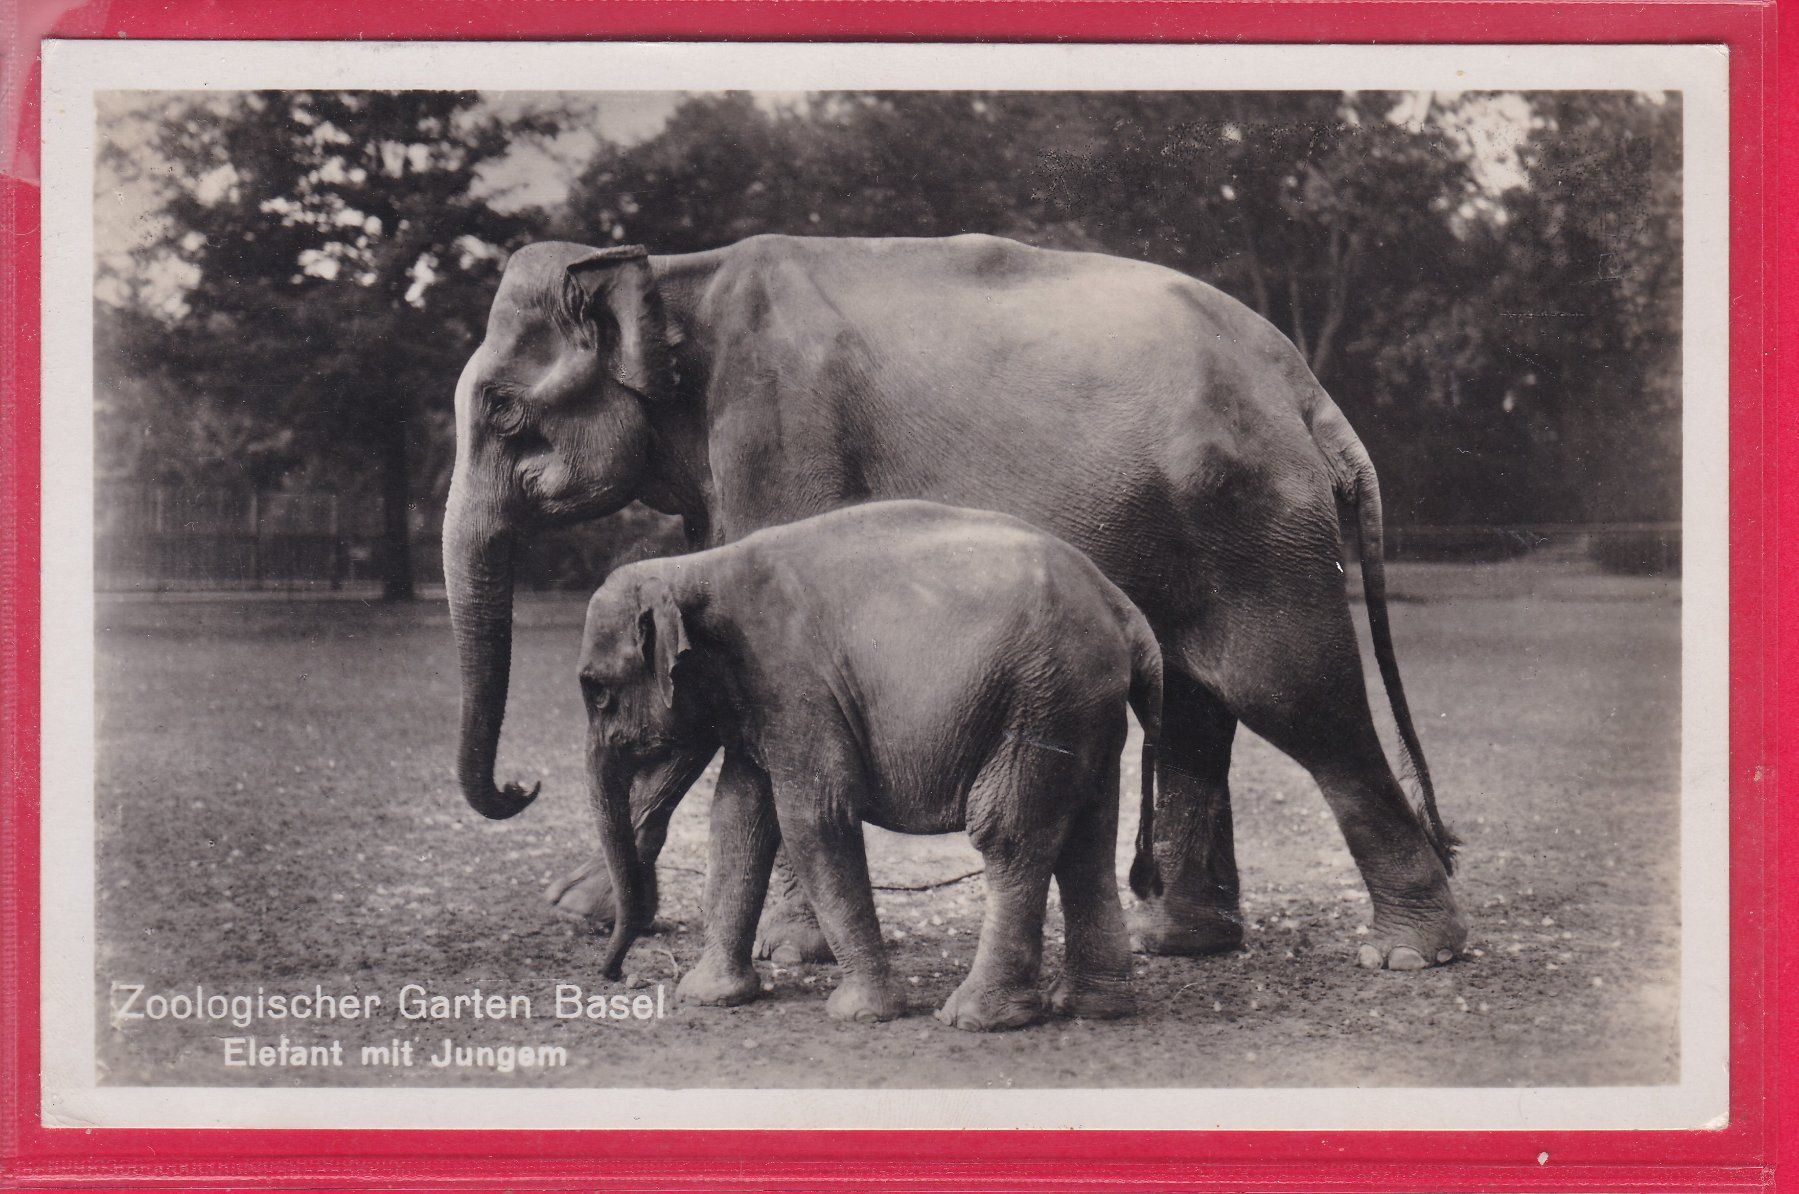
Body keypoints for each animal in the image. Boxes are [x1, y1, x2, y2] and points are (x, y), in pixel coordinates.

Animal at [446, 232, 1466, 972]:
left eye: (502, 410)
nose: (519, 785)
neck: (672, 271)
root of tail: (1303, 386)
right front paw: (581, 907)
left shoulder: (781, 433)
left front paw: (787, 951)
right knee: (1194, 707)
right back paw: (1177, 942)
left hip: (1253, 522)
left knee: (1296, 699)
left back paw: (1409, 955)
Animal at [577, 500, 1166, 1029]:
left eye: (598, 693)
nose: (613, 974)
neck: (694, 568)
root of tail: (1128, 614)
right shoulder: (762, 702)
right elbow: (737, 818)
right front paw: (707, 997)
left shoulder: (794, 684)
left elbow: (814, 818)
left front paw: (861, 1012)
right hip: (1081, 710)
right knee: (1088, 834)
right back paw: (1091, 1007)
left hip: (1041, 700)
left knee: (1008, 834)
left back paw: (977, 1018)